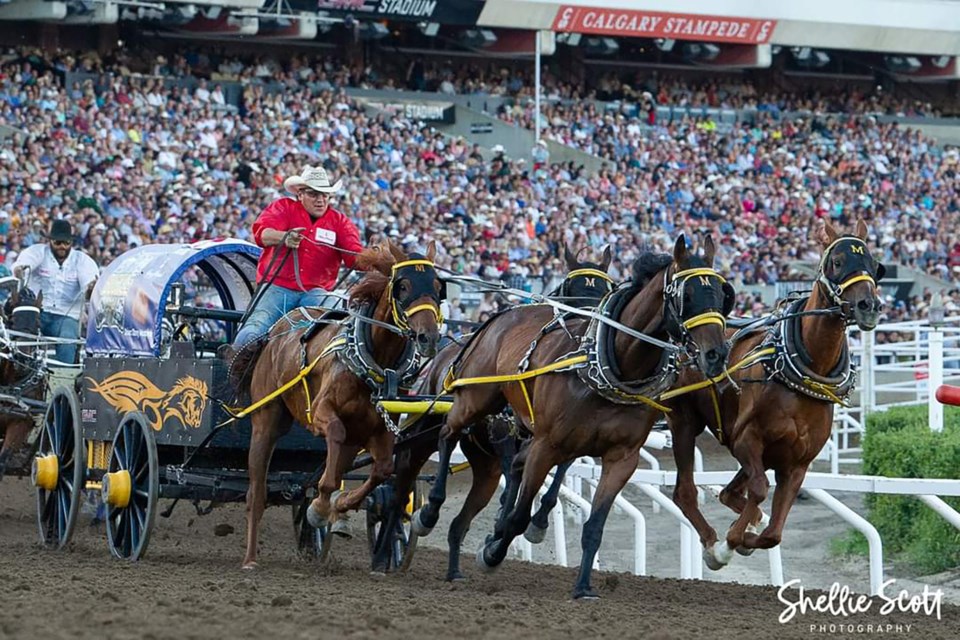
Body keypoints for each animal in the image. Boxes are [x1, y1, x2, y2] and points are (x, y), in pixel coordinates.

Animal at [244, 241, 446, 568]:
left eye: (438, 286)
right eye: (403, 286)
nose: (427, 337)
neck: (370, 360)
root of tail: (275, 332)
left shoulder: (378, 429)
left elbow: (382, 469)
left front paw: (341, 506)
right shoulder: (322, 413)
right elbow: (331, 464)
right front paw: (321, 507)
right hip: (265, 422)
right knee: (256, 492)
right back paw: (250, 557)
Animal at [368, 245, 616, 576]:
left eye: (604, 292)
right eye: (571, 290)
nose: (588, 336)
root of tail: (442, 356)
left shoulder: (559, 434)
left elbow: (556, 473)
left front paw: (534, 522)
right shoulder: (504, 432)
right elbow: (514, 478)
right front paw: (501, 525)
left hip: (481, 455)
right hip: (428, 430)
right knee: (406, 480)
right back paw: (394, 540)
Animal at [424, 236, 732, 600]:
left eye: (721, 293)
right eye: (687, 295)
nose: (716, 354)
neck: (610, 365)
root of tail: (503, 316)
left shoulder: (619, 457)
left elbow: (594, 526)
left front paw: (583, 586)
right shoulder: (546, 444)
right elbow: (519, 516)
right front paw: (492, 552)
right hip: (476, 399)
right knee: (447, 433)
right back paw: (429, 510)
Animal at [664, 218, 880, 568]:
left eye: (874, 265)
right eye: (837, 262)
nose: (868, 306)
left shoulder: (796, 464)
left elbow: (774, 533)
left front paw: (746, 536)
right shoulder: (746, 440)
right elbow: (760, 489)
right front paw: (727, 544)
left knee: (731, 493)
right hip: (684, 422)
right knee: (687, 491)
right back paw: (715, 541)